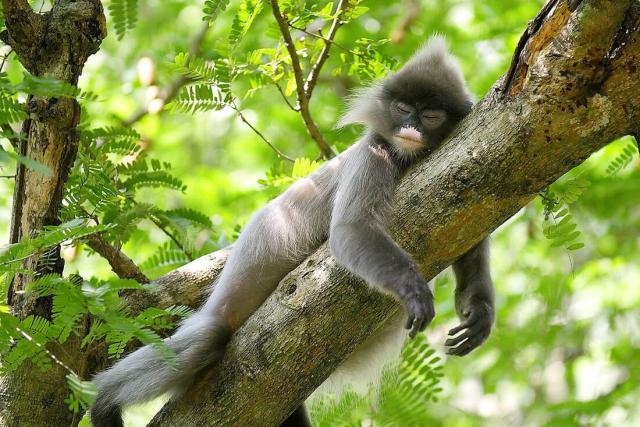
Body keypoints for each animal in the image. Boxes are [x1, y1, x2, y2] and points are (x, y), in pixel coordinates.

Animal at [90, 36, 495, 427]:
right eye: (402, 108)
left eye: (430, 115)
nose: (410, 127)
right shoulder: (375, 151)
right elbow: (349, 231)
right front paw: (413, 291)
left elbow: (470, 239)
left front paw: (479, 312)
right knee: (207, 337)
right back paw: (103, 402)